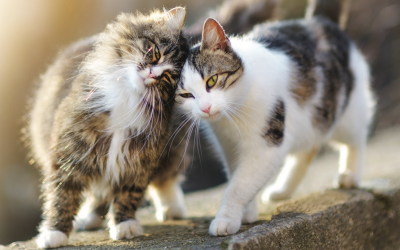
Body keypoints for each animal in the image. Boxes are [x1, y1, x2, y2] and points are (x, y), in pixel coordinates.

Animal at [29, 7, 189, 248]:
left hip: (173, 148)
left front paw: (124, 224)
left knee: (165, 180)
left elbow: (128, 194)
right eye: (155, 53)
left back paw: (172, 208)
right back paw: (88, 218)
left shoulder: (140, 157)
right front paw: (54, 232)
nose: (153, 73)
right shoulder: (72, 151)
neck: (128, 98)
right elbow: (62, 196)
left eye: (168, 77)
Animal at [177, 16, 374, 236]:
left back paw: (350, 175)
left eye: (211, 80)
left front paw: (226, 219)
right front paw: (246, 212)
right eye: (186, 95)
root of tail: (316, 20)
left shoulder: (266, 145)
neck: (233, 113)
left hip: (346, 111)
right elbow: (237, 175)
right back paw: (282, 190)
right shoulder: (228, 145)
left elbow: (239, 185)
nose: (205, 108)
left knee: (355, 138)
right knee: (308, 148)